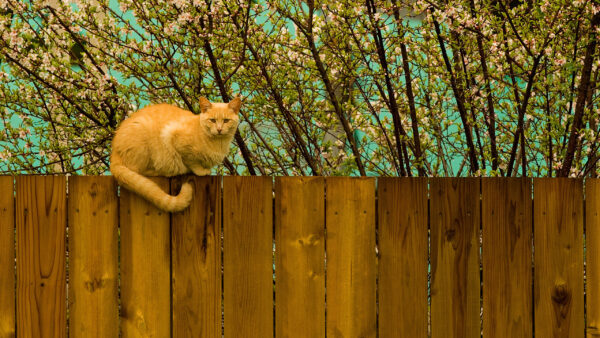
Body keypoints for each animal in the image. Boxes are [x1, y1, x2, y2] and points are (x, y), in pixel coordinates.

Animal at [109, 96, 240, 211]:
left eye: (226, 121)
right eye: (212, 120)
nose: (219, 129)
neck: (218, 144)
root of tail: (114, 151)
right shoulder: (174, 137)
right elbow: (192, 162)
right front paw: (201, 171)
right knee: (138, 170)